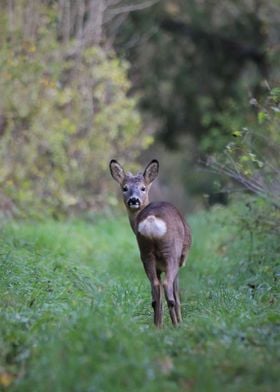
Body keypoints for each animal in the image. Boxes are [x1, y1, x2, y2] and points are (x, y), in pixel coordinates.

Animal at [110, 159, 192, 328]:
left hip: (145, 253)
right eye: (124, 188)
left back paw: (157, 326)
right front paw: (181, 321)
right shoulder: (181, 261)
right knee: (168, 288)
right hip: (171, 253)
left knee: (155, 289)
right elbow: (177, 294)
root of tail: (152, 220)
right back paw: (175, 325)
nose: (134, 200)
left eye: (143, 188)